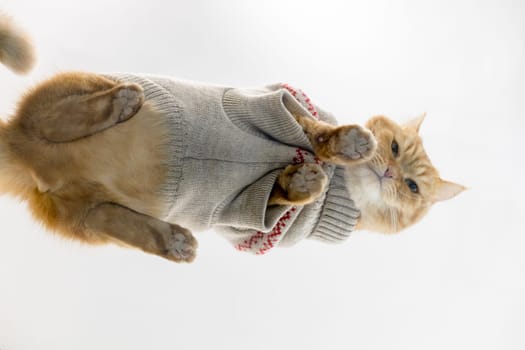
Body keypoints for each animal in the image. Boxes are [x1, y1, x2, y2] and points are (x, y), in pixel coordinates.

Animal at [1, 16, 462, 262]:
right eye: (395, 148)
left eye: (413, 186)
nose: (390, 174)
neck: (342, 191)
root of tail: (23, 150)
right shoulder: (271, 103)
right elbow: (315, 132)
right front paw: (347, 144)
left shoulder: (242, 216)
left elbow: (280, 190)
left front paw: (303, 180)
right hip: (82, 87)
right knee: (54, 119)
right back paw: (121, 101)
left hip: (89, 221)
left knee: (117, 222)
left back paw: (175, 241)